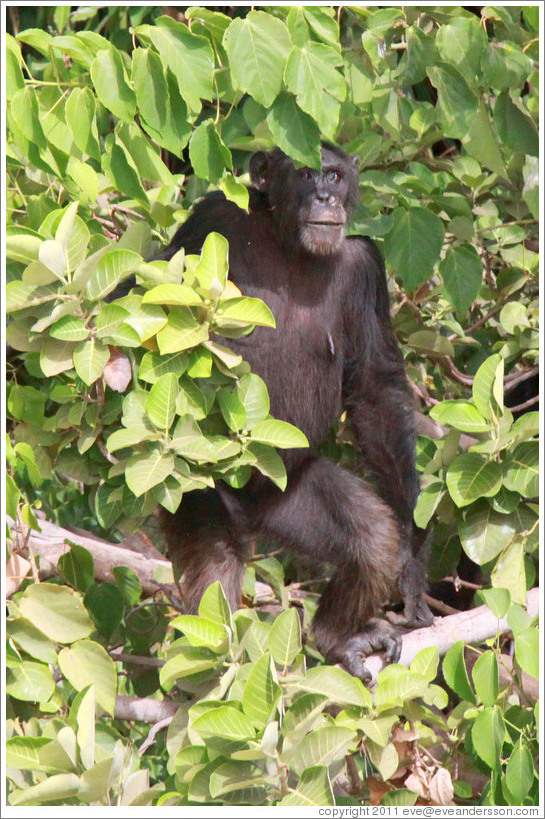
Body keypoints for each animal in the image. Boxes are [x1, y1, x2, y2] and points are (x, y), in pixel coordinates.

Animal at [142, 144, 432, 684]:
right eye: (303, 172)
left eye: (334, 175)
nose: (324, 196)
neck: (292, 247)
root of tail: (251, 519)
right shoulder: (211, 220)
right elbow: (140, 292)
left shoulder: (366, 269)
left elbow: (375, 391)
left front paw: (412, 567)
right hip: (197, 490)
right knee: (214, 570)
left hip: (289, 493)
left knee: (368, 536)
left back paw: (340, 638)